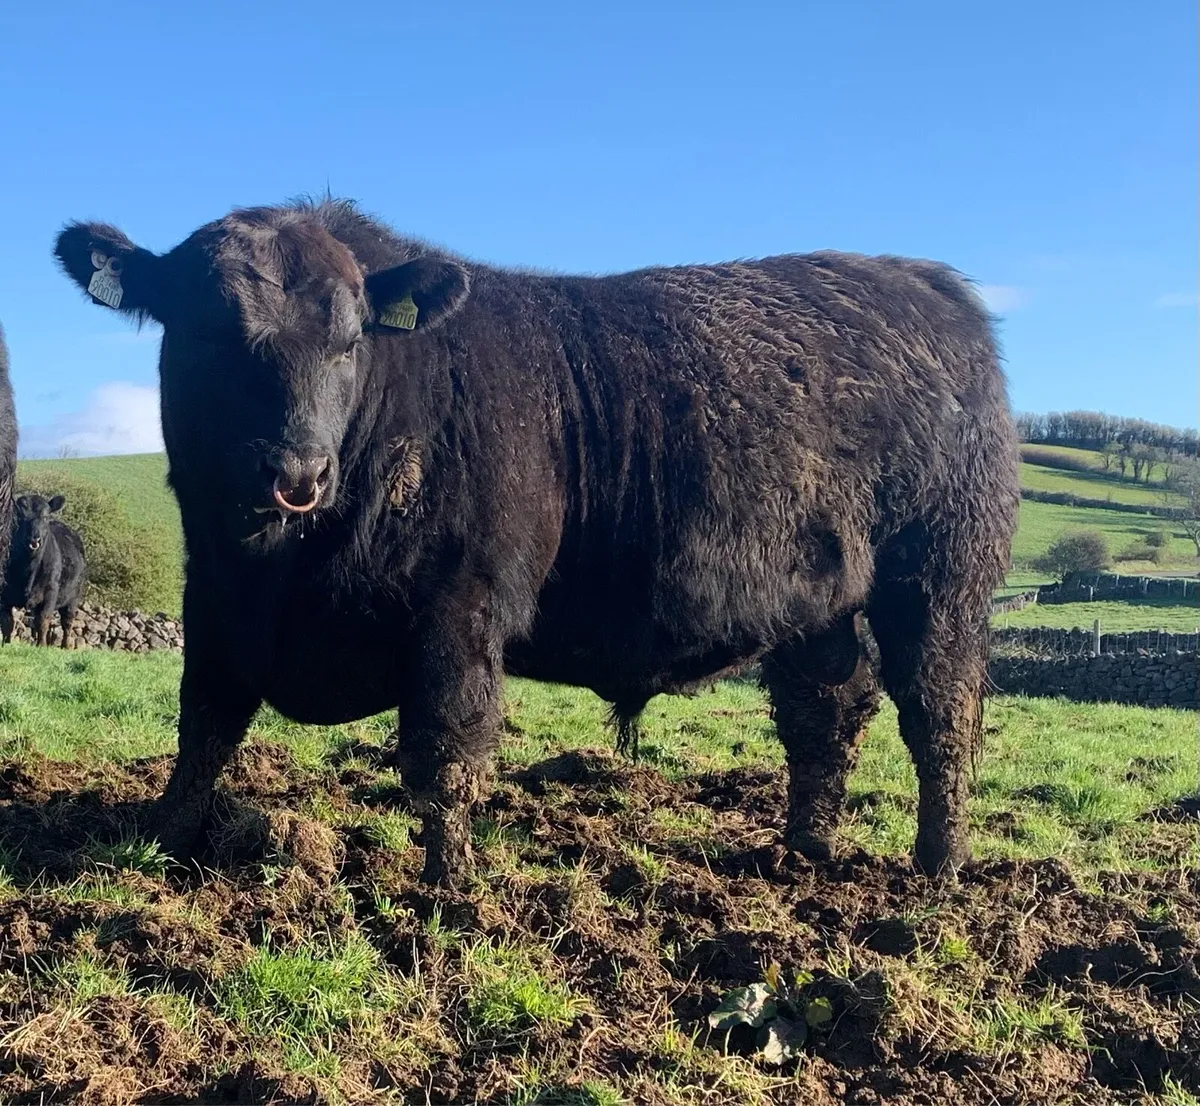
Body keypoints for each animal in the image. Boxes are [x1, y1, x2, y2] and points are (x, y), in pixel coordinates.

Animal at [1, 495, 87, 648]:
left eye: (46, 516)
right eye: (20, 515)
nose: (35, 537)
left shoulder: (50, 592)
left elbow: (43, 619)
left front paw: (41, 645)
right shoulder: (3, 593)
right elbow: (7, 622)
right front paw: (5, 644)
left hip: (74, 597)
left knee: (67, 622)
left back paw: (65, 645)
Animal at [54, 199, 1019, 887]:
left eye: (349, 338)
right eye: (206, 330)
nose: (295, 469)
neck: (283, 567)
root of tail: (924, 283)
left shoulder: (458, 612)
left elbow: (443, 755)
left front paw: (452, 890)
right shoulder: (214, 601)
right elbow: (203, 730)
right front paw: (160, 846)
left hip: (941, 577)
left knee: (942, 717)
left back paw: (938, 872)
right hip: (819, 603)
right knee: (827, 710)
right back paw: (804, 852)